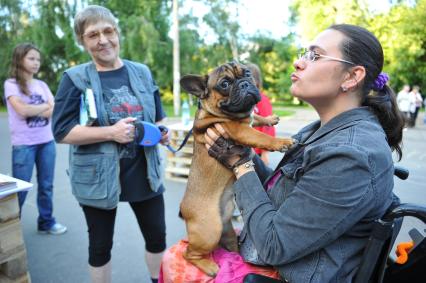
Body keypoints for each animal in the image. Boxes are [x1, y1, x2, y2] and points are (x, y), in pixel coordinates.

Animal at [178, 61, 294, 278]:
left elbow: (255, 117)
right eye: (224, 84)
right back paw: (210, 267)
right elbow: (260, 136)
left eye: (247, 73)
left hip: (226, 231)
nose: (244, 83)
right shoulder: (238, 130)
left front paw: (269, 119)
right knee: (188, 253)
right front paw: (282, 142)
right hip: (210, 230)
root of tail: (184, 210)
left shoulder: (246, 121)